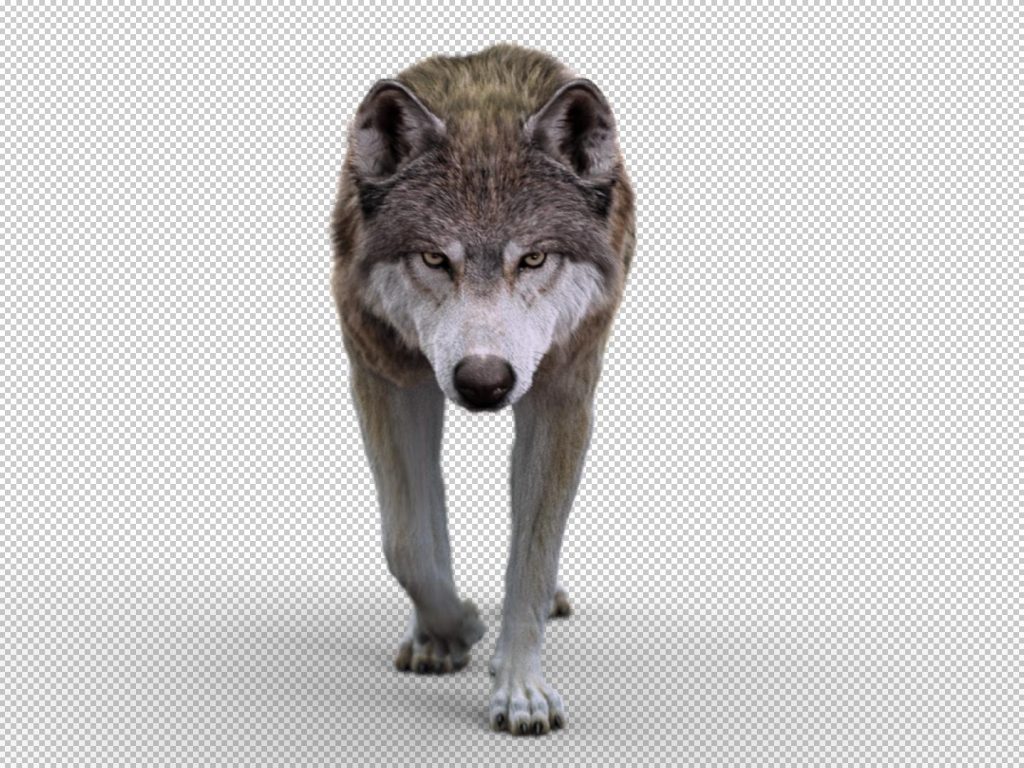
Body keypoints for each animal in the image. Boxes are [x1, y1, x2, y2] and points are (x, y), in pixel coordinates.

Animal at [330, 43, 635, 735]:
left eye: (534, 258)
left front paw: (520, 690)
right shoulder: (387, 379)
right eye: (435, 258)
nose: (485, 382)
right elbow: (407, 539)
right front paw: (454, 627)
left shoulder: (560, 393)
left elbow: (533, 556)